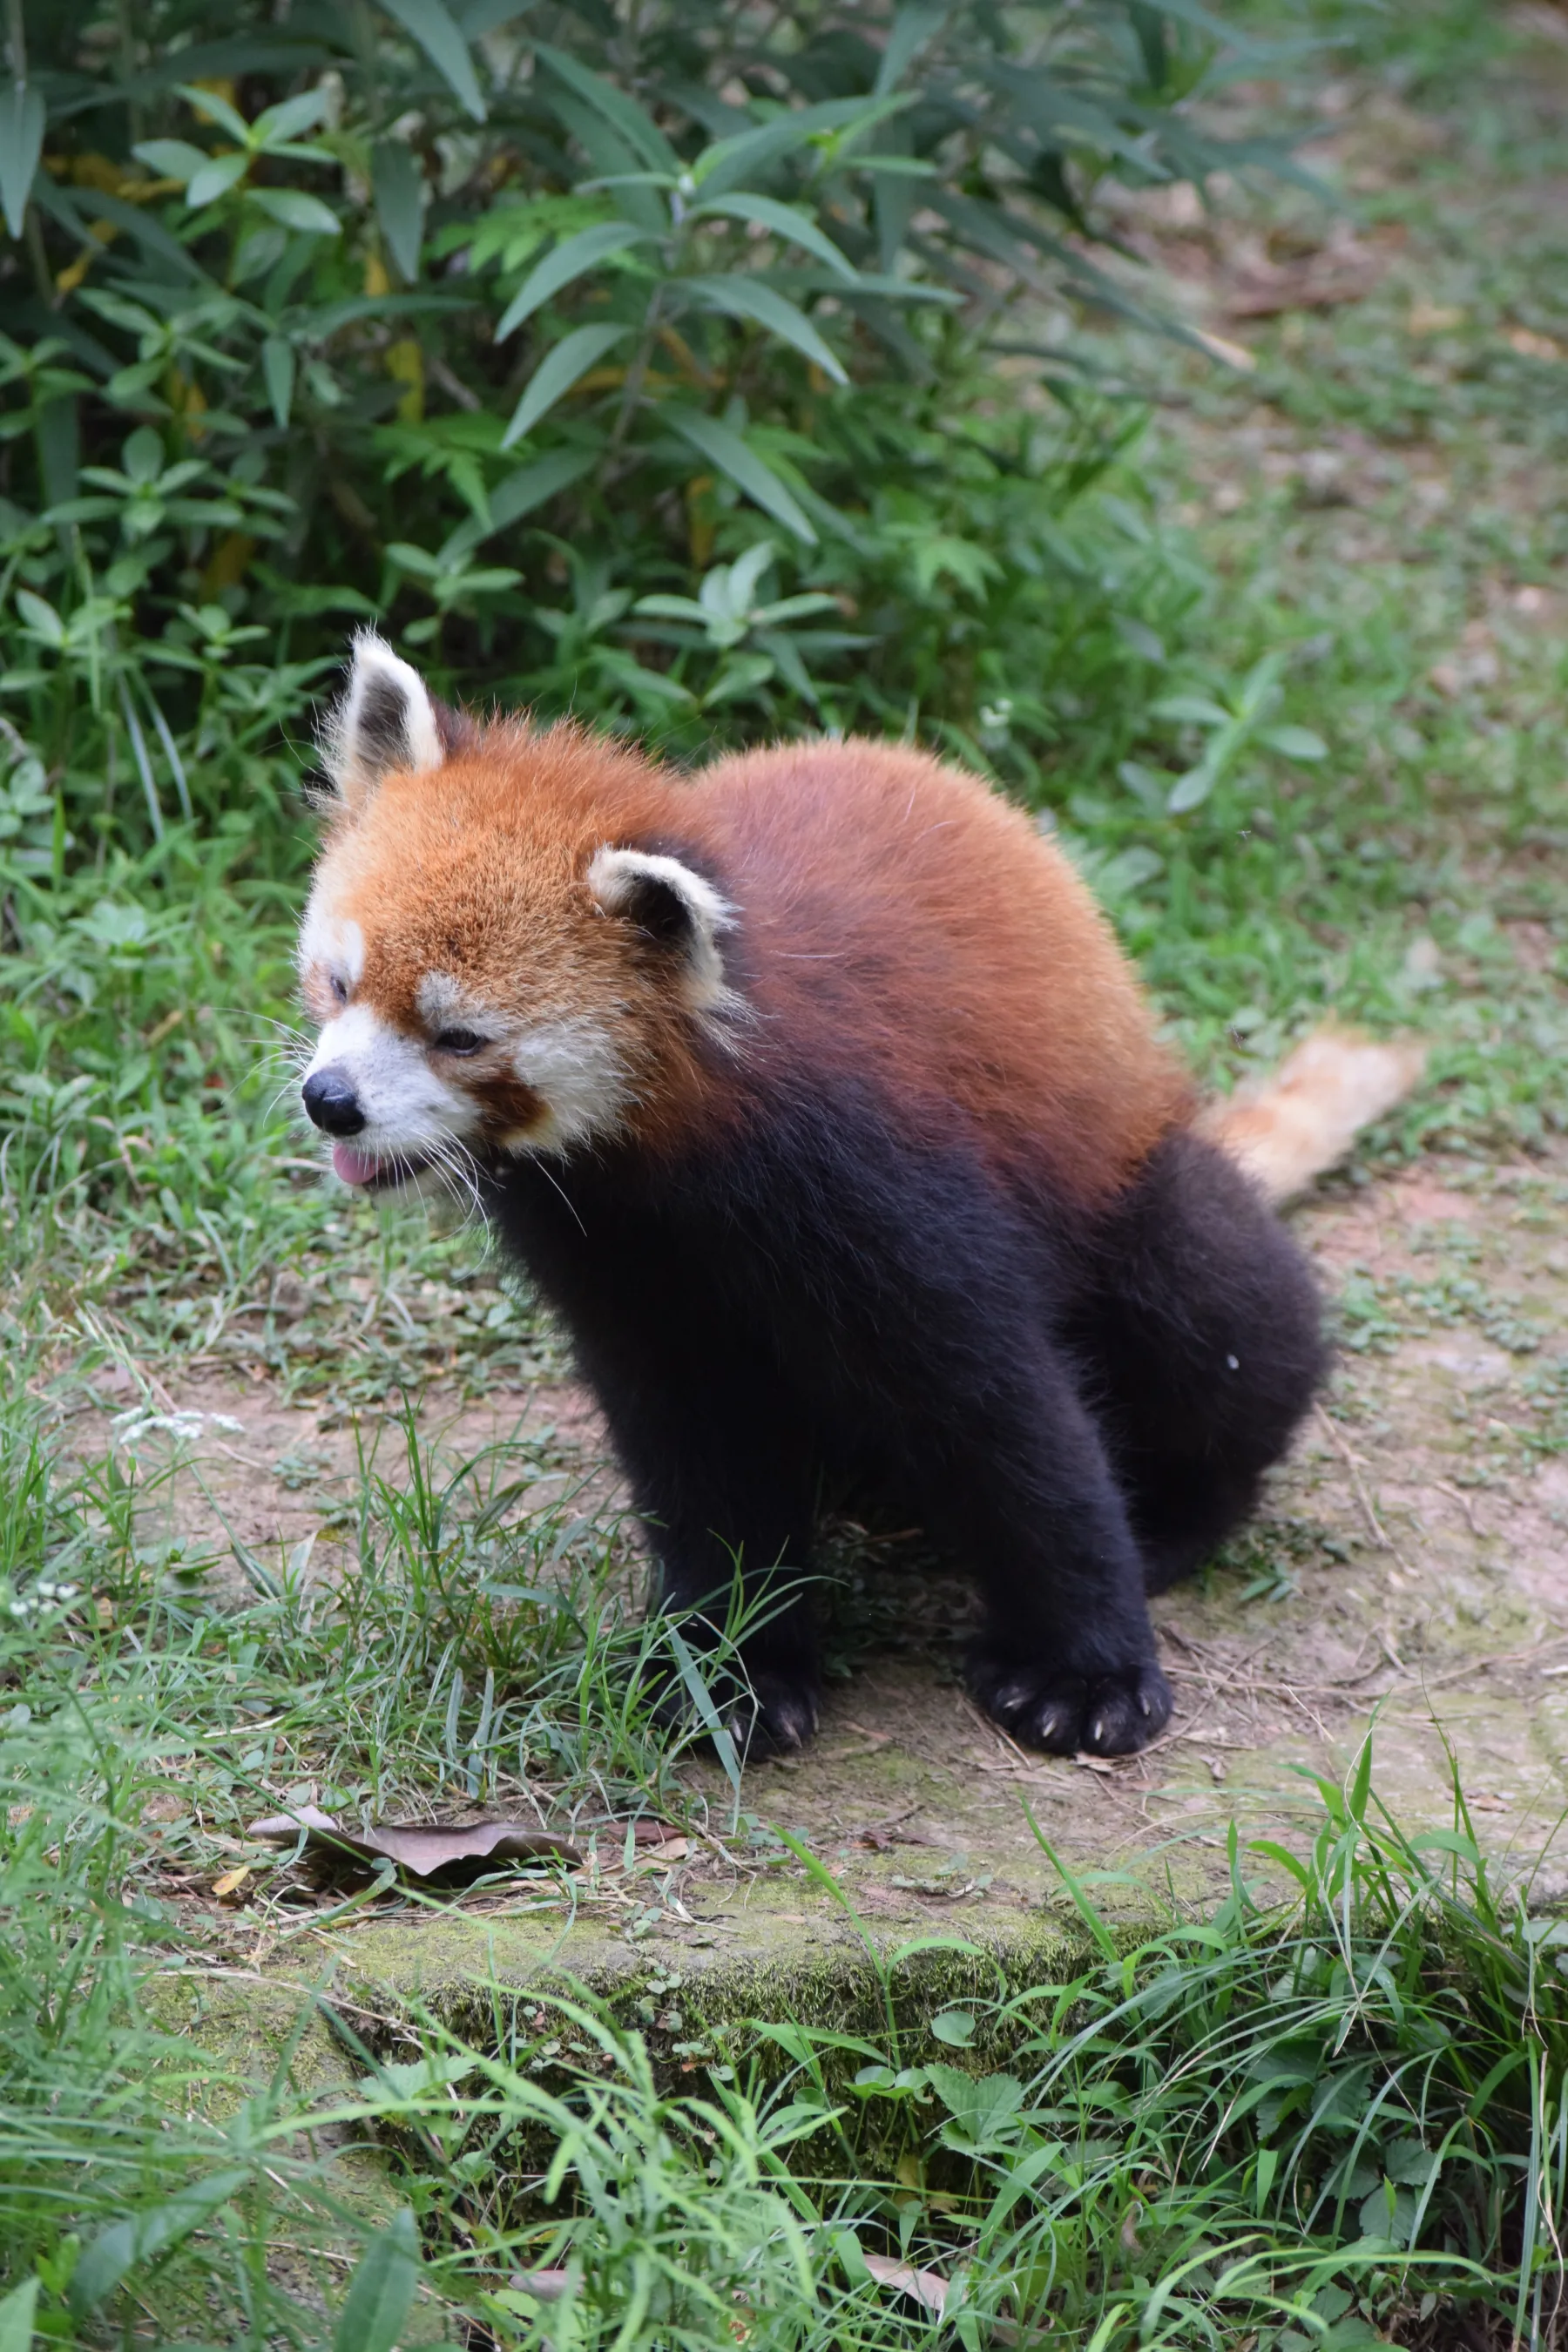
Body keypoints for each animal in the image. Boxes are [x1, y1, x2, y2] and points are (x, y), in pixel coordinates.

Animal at [294, 632, 1419, 1759]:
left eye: (460, 1038)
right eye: (341, 983)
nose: (330, 1101)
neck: (671, 1158)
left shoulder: (875, 1177)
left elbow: (1009, 1417)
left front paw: (1086, 1668)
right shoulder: (618, 1255)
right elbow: (699, 1450)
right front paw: (728, 1666)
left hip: (1136, 1194)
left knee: (1213, 1312)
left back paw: (1179, 1512)